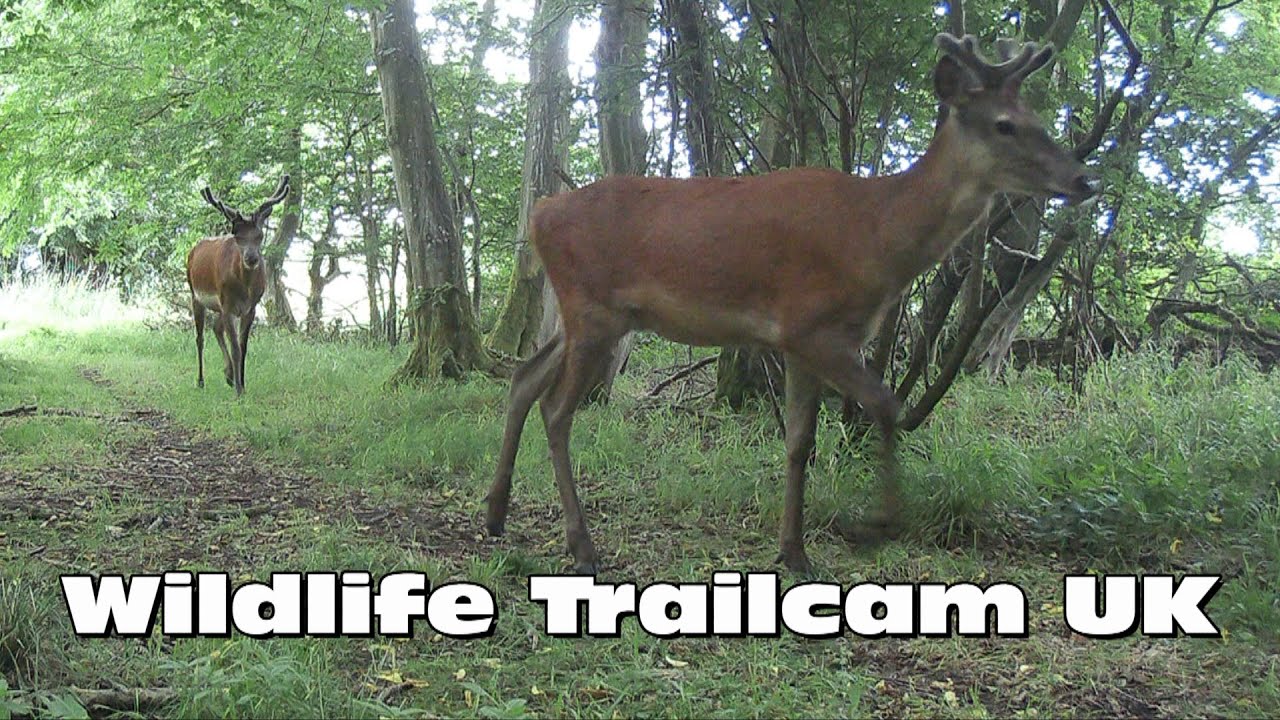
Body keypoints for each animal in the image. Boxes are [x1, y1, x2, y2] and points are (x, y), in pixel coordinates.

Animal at [186, 176, 291, 397]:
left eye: (260, 235)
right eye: (236, 235)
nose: (251, 258)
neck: (245, 289)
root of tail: (194, 249)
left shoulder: (250, 308)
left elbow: (243, 348)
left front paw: (241, 382)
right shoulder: (227, 304)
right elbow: (235, 347)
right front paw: (239, 391)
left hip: (219, 306)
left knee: (216, 328)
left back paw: (228, 374)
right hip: (195, 294)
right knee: (200, 338)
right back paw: (201, 381)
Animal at [486, 34, 1098, 574]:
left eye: (1038, 117)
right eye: (1004, 124)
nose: (1083, 178)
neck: (877, 235)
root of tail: (540, 213)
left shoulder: (799, 342)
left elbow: (800, 440)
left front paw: (795, 550)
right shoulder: (812, 325)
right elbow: (885, 404)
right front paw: (876, 526)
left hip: (581, 314)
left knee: (522, 377)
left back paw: (496, 514)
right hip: (593, 308)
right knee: (556, 410)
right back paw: (581, 545)